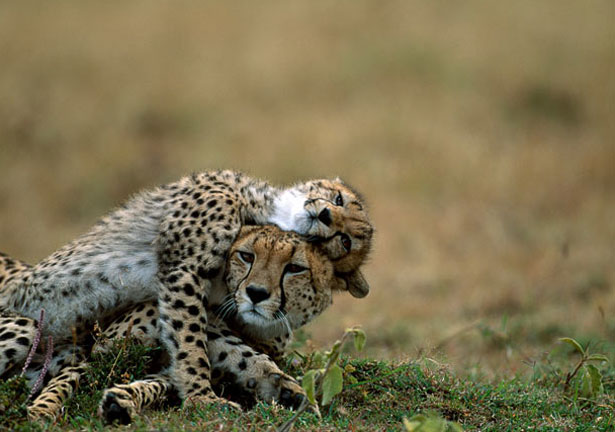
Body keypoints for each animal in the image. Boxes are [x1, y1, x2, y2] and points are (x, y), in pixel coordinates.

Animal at [0, 170, 372, 412]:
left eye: (344, 241)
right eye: (247, 256)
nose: (325, 215)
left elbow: (228, 352)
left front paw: (283, 387)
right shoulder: (182, 276)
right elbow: (191, 343)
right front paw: (201, 397)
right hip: (30, 324)